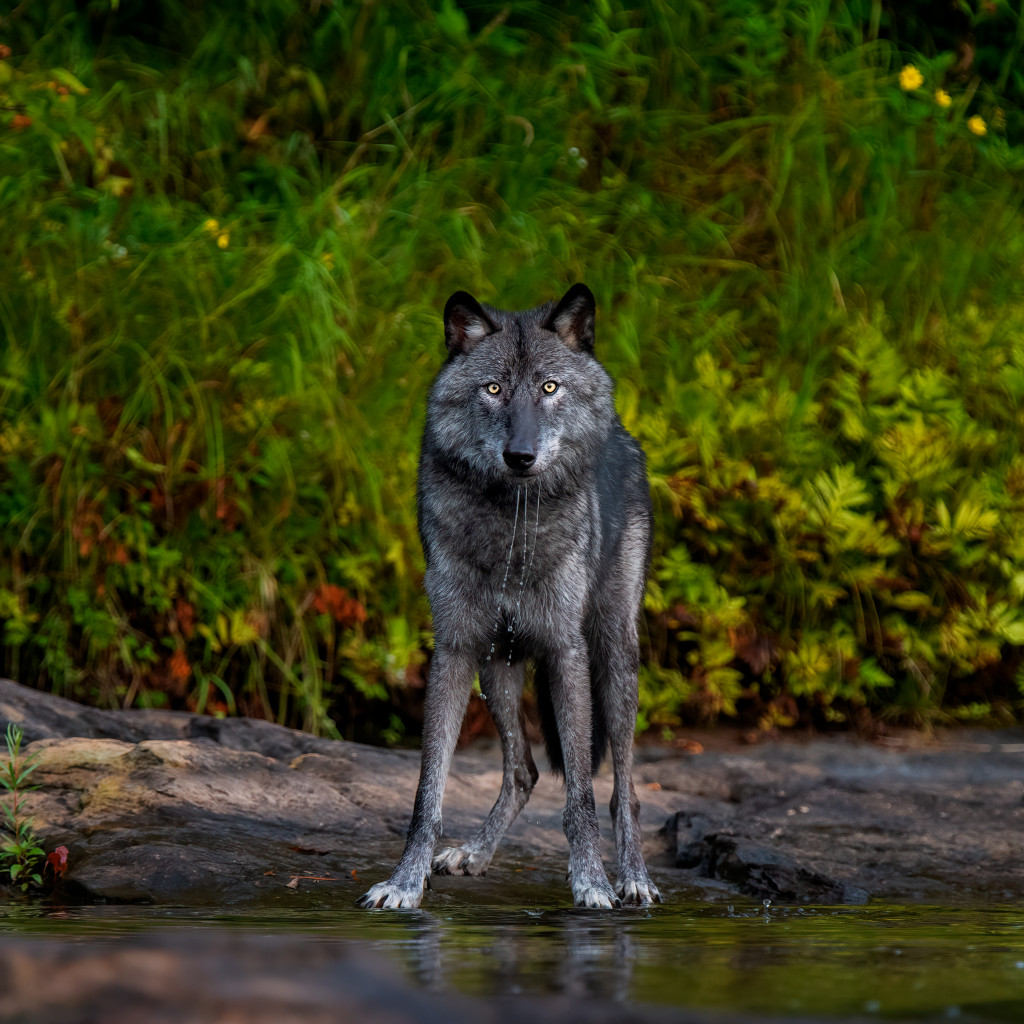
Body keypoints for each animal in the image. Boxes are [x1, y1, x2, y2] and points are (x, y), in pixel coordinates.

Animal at [360, 284, 659, 909]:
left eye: (549, 387)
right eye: (493, 388)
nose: (520, 455)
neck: (512, 529)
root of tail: (622, 429)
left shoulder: (566, 651)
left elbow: (582, 796)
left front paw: (592, 883)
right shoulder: (453, 651)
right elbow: (427, 792)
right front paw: (405, 882)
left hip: (614, 657)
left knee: (624, 788)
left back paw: (634, 877)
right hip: (499, 664)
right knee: (524, 771)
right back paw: (474, 854)